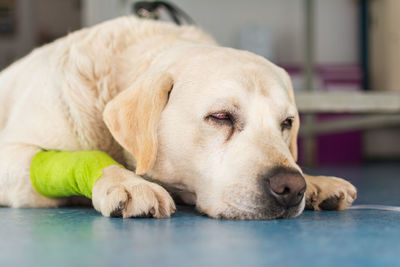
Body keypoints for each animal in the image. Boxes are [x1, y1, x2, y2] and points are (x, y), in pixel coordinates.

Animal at [0, 17, 354, 221]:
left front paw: (317, 183)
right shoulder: (14, 154)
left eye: (286, 123)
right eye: (221, 117)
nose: (292, 187)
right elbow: (88, 157)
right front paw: (126, 182)